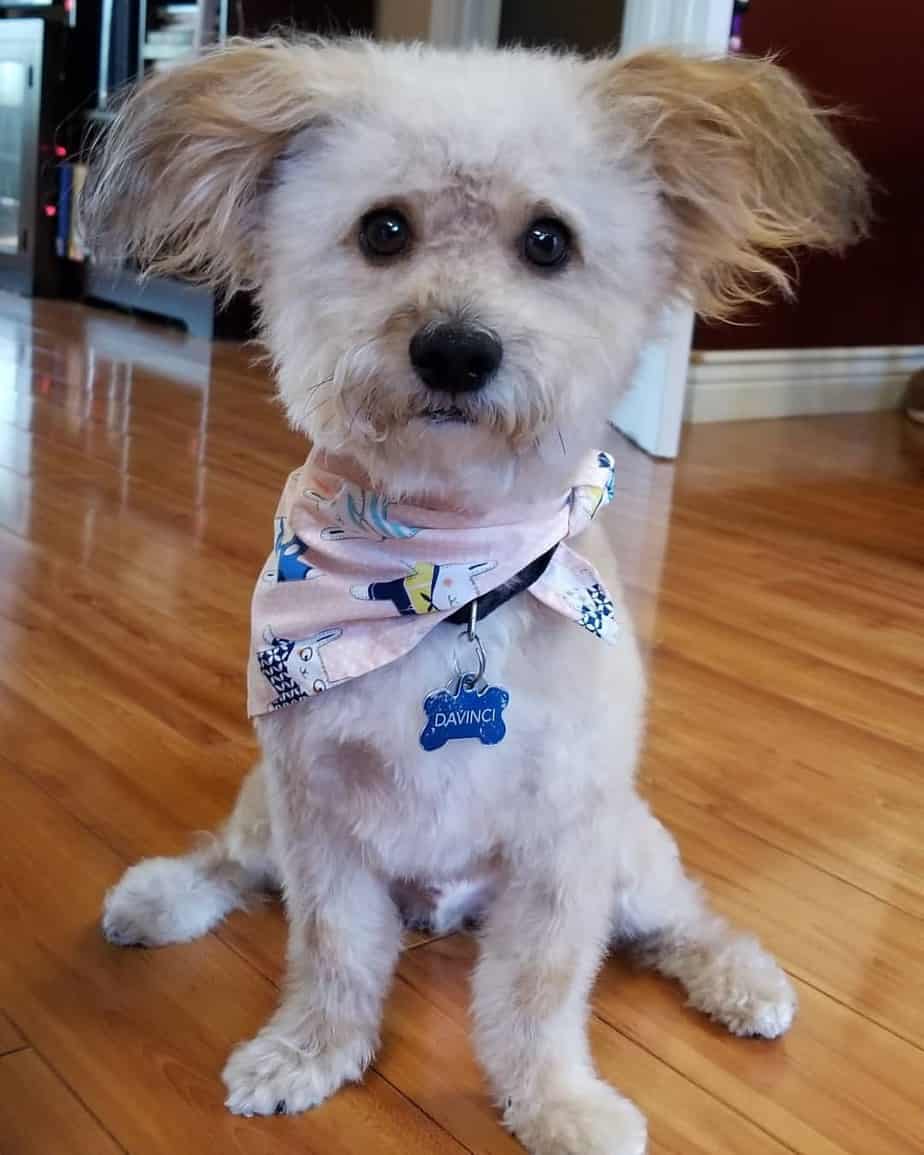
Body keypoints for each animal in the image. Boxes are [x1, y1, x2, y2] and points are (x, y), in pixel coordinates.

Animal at [83, 38, 868, 1155]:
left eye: (549, 241)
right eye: (382, 229)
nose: (456, 349)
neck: (451, 577)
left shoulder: (564, 845)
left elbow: (539, 992)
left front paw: (559, 1104)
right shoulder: (318, 813)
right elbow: (331, 952)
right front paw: (308, 1052)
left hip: (632, 850)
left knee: (683, 920)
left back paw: (741, 979)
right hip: (265, 806)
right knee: (229, 862)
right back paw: (156, 899)